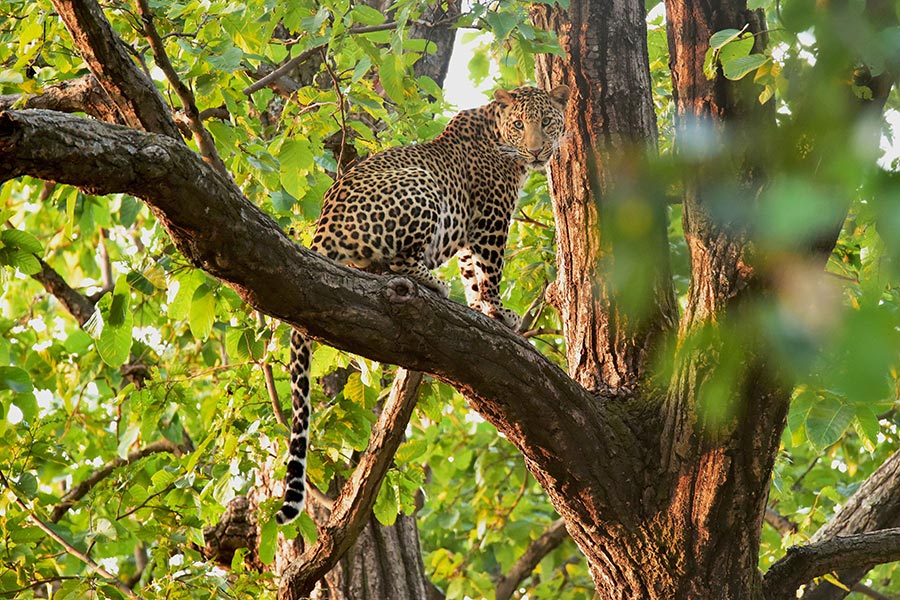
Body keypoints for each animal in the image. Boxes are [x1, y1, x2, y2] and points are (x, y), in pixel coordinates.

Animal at [274, 84, 568, 524]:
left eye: (547, 122)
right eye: (519, 125)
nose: (536, 152)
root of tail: (324, 225)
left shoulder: (469, 233)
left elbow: (472, 275)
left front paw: (480, 309)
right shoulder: (491, 219)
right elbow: (490, 272)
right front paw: (499, 312)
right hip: (421, 183)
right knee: (398, 262)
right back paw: (432, 282)